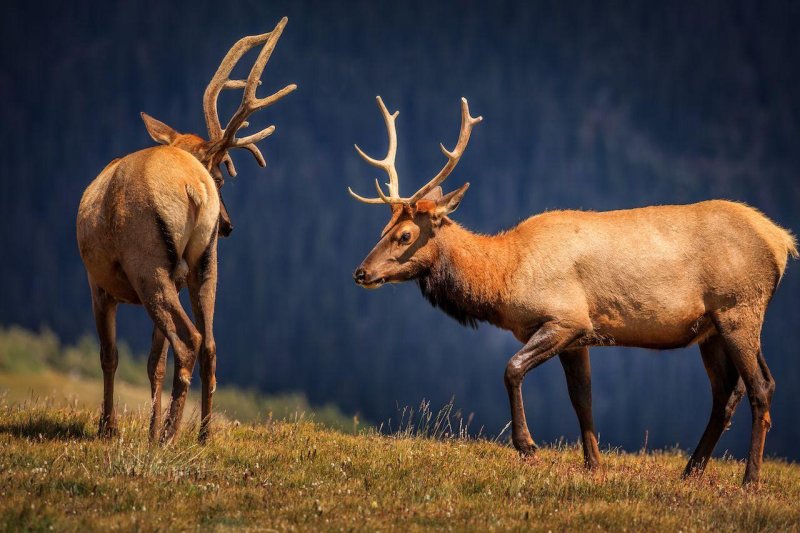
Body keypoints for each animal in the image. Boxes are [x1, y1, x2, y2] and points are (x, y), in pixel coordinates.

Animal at [77, 17, 296, 444]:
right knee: (209, 343)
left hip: (148, 265)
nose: (228, 225)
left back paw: (168, 435)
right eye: (223, 177)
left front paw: (108, 427)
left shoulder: (99, 283)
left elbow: (110, 356)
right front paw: (143, 427)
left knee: (190, 340)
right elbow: (153, 362)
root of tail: (192, 188)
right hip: (204, 265)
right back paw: (202, 434)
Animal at [348, 94, 792, 482]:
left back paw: (750, 479)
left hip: (739, 309)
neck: (505, 278)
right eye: (384, 228)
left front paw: (527, 446)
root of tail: (782, 242)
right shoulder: (581, 336)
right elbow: (582, 399)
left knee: (759, 388)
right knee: (729, 393)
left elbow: (512, 368)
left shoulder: (566, 318)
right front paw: (593, 465)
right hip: (712, 328)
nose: (361, 273)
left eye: (405, 235)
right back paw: (691, 471)